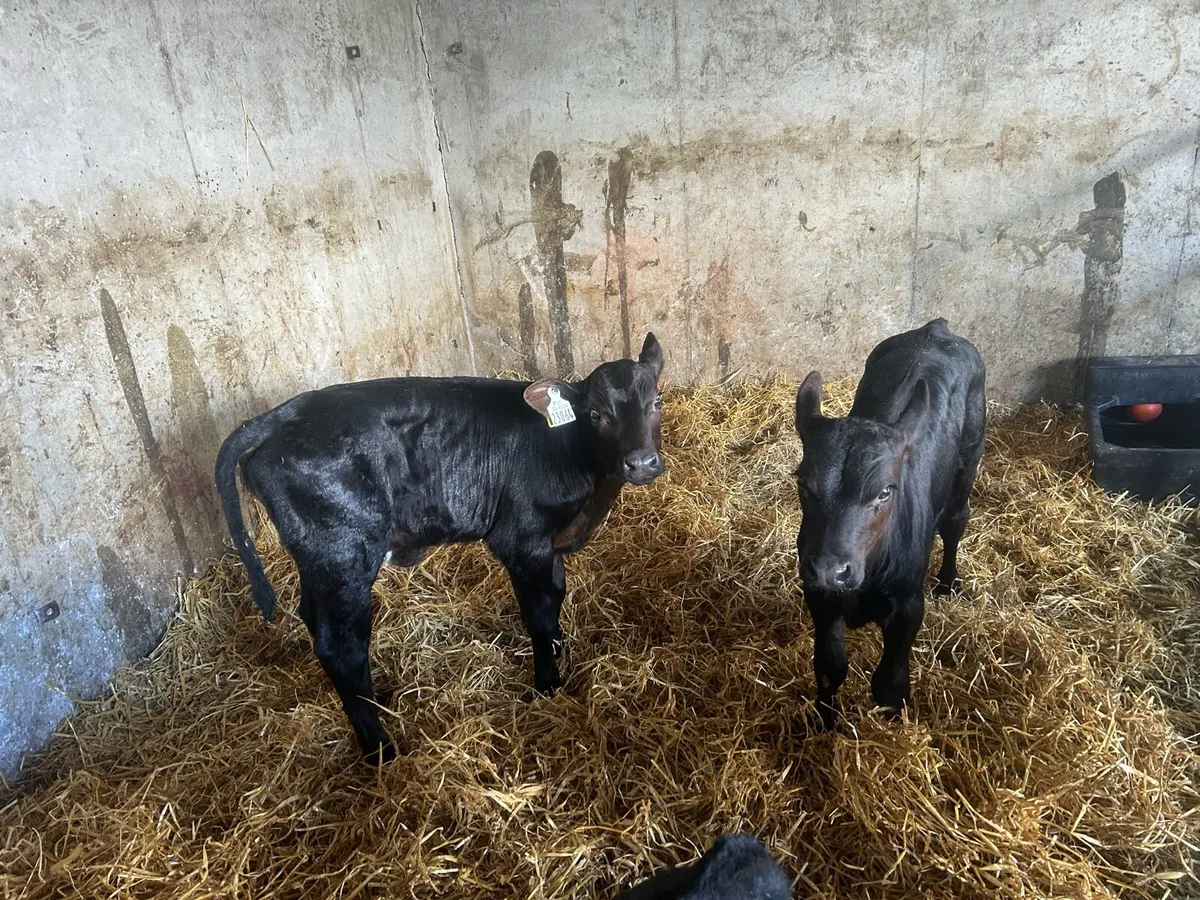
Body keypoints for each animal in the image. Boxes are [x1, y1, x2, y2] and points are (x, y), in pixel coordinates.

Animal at [215, 335, 666, 763]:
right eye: (595, 414)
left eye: (657, 402)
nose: (641, 462)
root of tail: (290, 412)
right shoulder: (522, 540)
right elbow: (538, 615)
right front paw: (547, 685)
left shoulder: (552, 543)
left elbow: (556, 598)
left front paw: (560, 652)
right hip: (344, 554)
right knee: (341, 646)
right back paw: (381, 748)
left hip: (320, 560)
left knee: (315, 621)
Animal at [792, 318, 985, 731]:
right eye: (803, 484)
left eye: (885, 491)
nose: (831, 568)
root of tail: (936, 328)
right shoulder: (819, 595)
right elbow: (829, 668)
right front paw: (824, 725)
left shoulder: (908, 606)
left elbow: (890, 684)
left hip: (970, 455)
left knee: (956, 520)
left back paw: (948, 582)